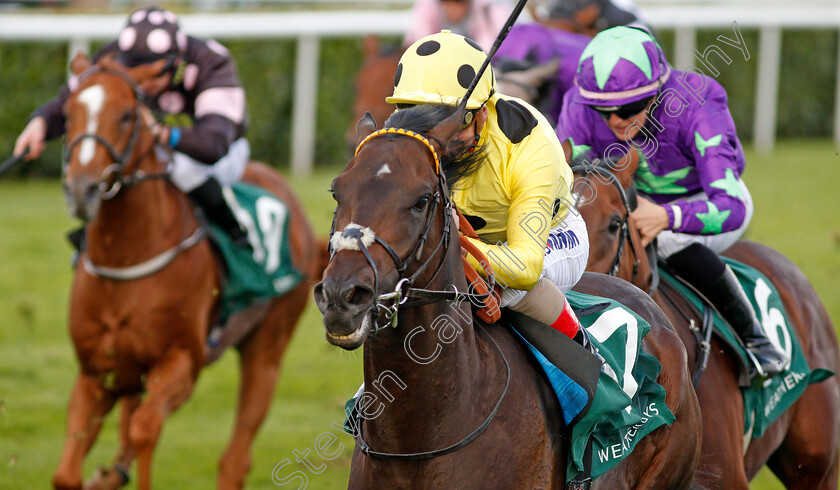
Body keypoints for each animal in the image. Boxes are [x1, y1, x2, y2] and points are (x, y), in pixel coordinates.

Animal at [53, 51, 322, 488]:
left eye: (126, 115)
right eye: (67, 113)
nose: (81, 189)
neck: (124, 259)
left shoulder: (180, 362)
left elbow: (145, 428)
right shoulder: (95, 372)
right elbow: (67, 472)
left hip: (267, 348)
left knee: (234, 459)